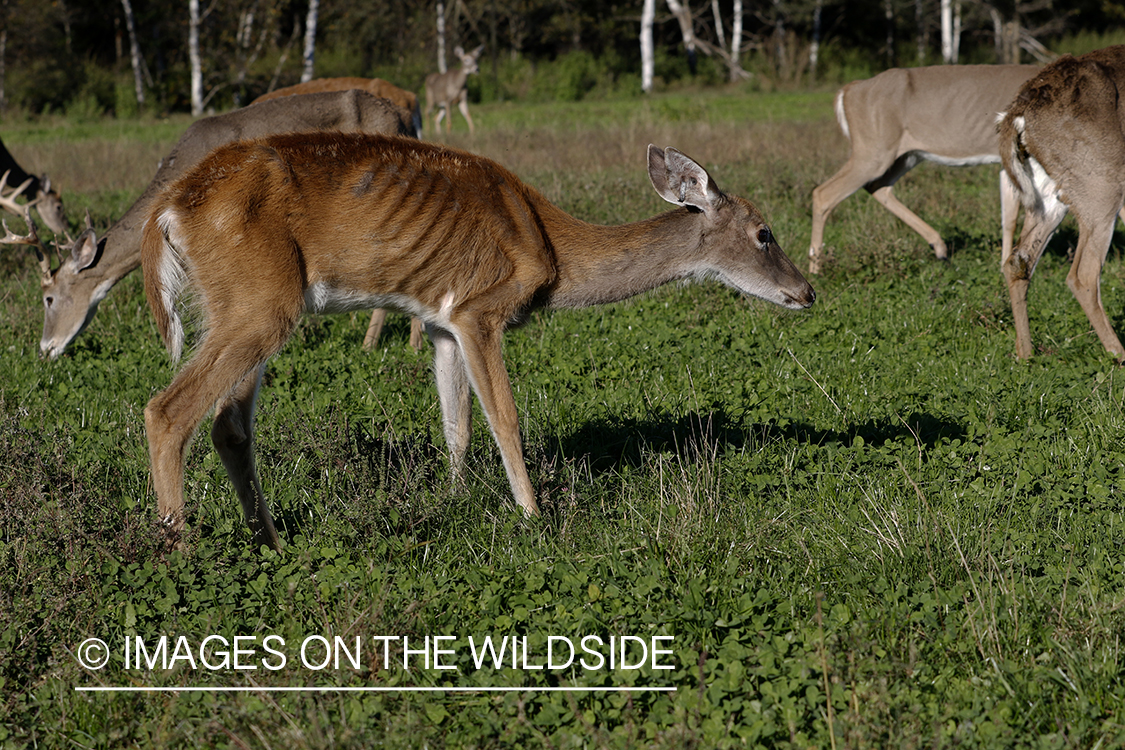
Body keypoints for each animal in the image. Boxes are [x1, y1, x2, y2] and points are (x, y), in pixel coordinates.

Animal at [140, 132, 819, 548]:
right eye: (764, 233)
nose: (808, 292)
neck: (554, 250)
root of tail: (168, 211)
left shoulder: (442, 322)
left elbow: (457, 425)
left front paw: (455, 500)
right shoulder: (480, 309)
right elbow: (506, 418)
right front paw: (535, 518)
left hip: (249, 306)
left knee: (228, 424)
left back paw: (273, 542)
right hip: (259, 301)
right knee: (167, 410)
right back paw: (180, 549)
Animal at [999, 46, 1125, 359]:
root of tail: (1017, 113)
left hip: (1049, 195)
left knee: (1017, 262)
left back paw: (1025, 354)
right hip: (1103, 184)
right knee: (1082, 276)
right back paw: (1118, 355)